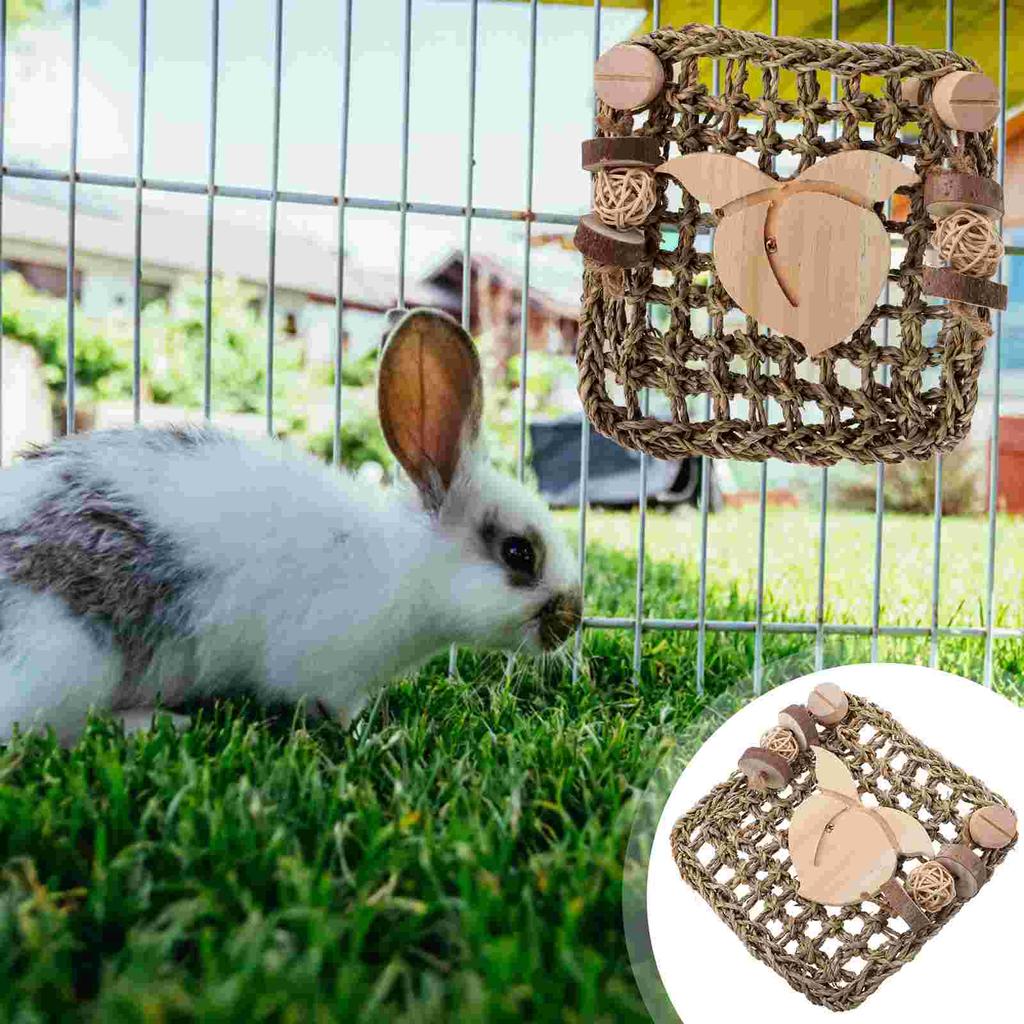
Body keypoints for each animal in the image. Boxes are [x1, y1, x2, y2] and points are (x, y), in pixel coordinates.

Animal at [0, 308, 582, 744]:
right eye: (518, 553)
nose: (573, 618)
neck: (408, 566)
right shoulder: (328, 670)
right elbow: (332, 709)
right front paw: (367, 735)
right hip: (68, 664)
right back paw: (157, 722)